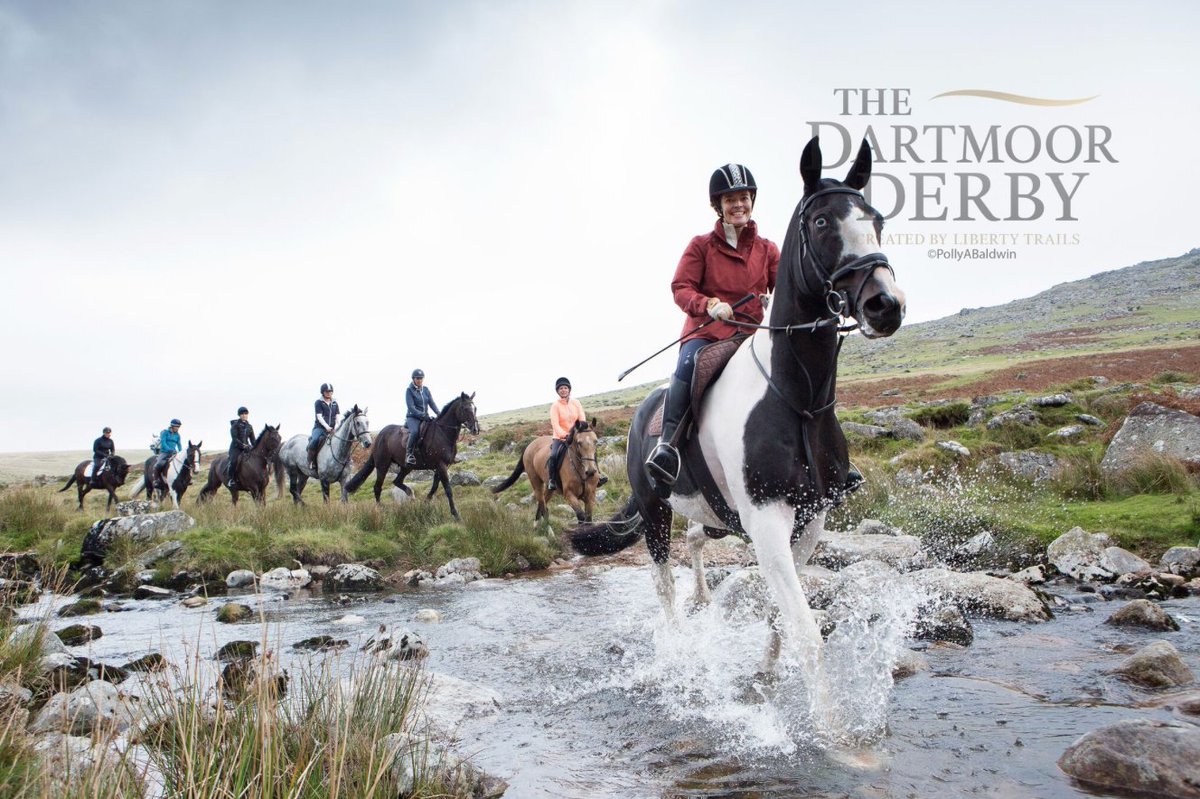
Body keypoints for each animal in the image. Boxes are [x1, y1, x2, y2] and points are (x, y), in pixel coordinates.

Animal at [343, 391, 477, 515]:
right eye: (465, 408)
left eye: (475, 408)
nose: (475, 429)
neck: (443, 432)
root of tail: (379, 436)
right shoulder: (441, 465)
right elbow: (448, 489)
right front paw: (456, 514)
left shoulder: (442, 466)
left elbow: (434, 487)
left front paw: (426, 502)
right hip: (382, 465)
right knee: (377, 487)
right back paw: (380, 509)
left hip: (407, 466)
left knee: (397, 481)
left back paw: (410, 494)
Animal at [566, 139, 902, 700]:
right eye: (821, 222)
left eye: (876, 219)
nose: (885, 305)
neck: (797, 400)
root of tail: (639, 417)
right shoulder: (767, 523)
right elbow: (806, 632)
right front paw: (834, 726)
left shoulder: (810, 521)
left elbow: (780, 612)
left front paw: (765, 673)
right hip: (655, 510)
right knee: (664, 585)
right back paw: (678, 655)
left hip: (712, 513)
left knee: (696, 540)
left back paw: (703, 600)